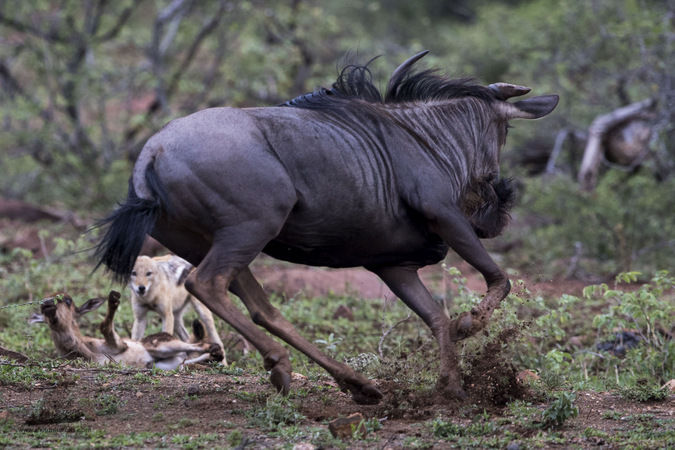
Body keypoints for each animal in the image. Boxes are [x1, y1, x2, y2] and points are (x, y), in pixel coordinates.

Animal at [31, 292, 224, 370]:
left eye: (68, 300)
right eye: (41, 306)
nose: (47, 305)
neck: (83, 351)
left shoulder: (118, 345)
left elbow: (105, 327)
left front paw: (114, 299)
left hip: (161, 345)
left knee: (199, 345)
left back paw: (214, 349)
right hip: (166, 363)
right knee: (190, 357)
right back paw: (213, 354)